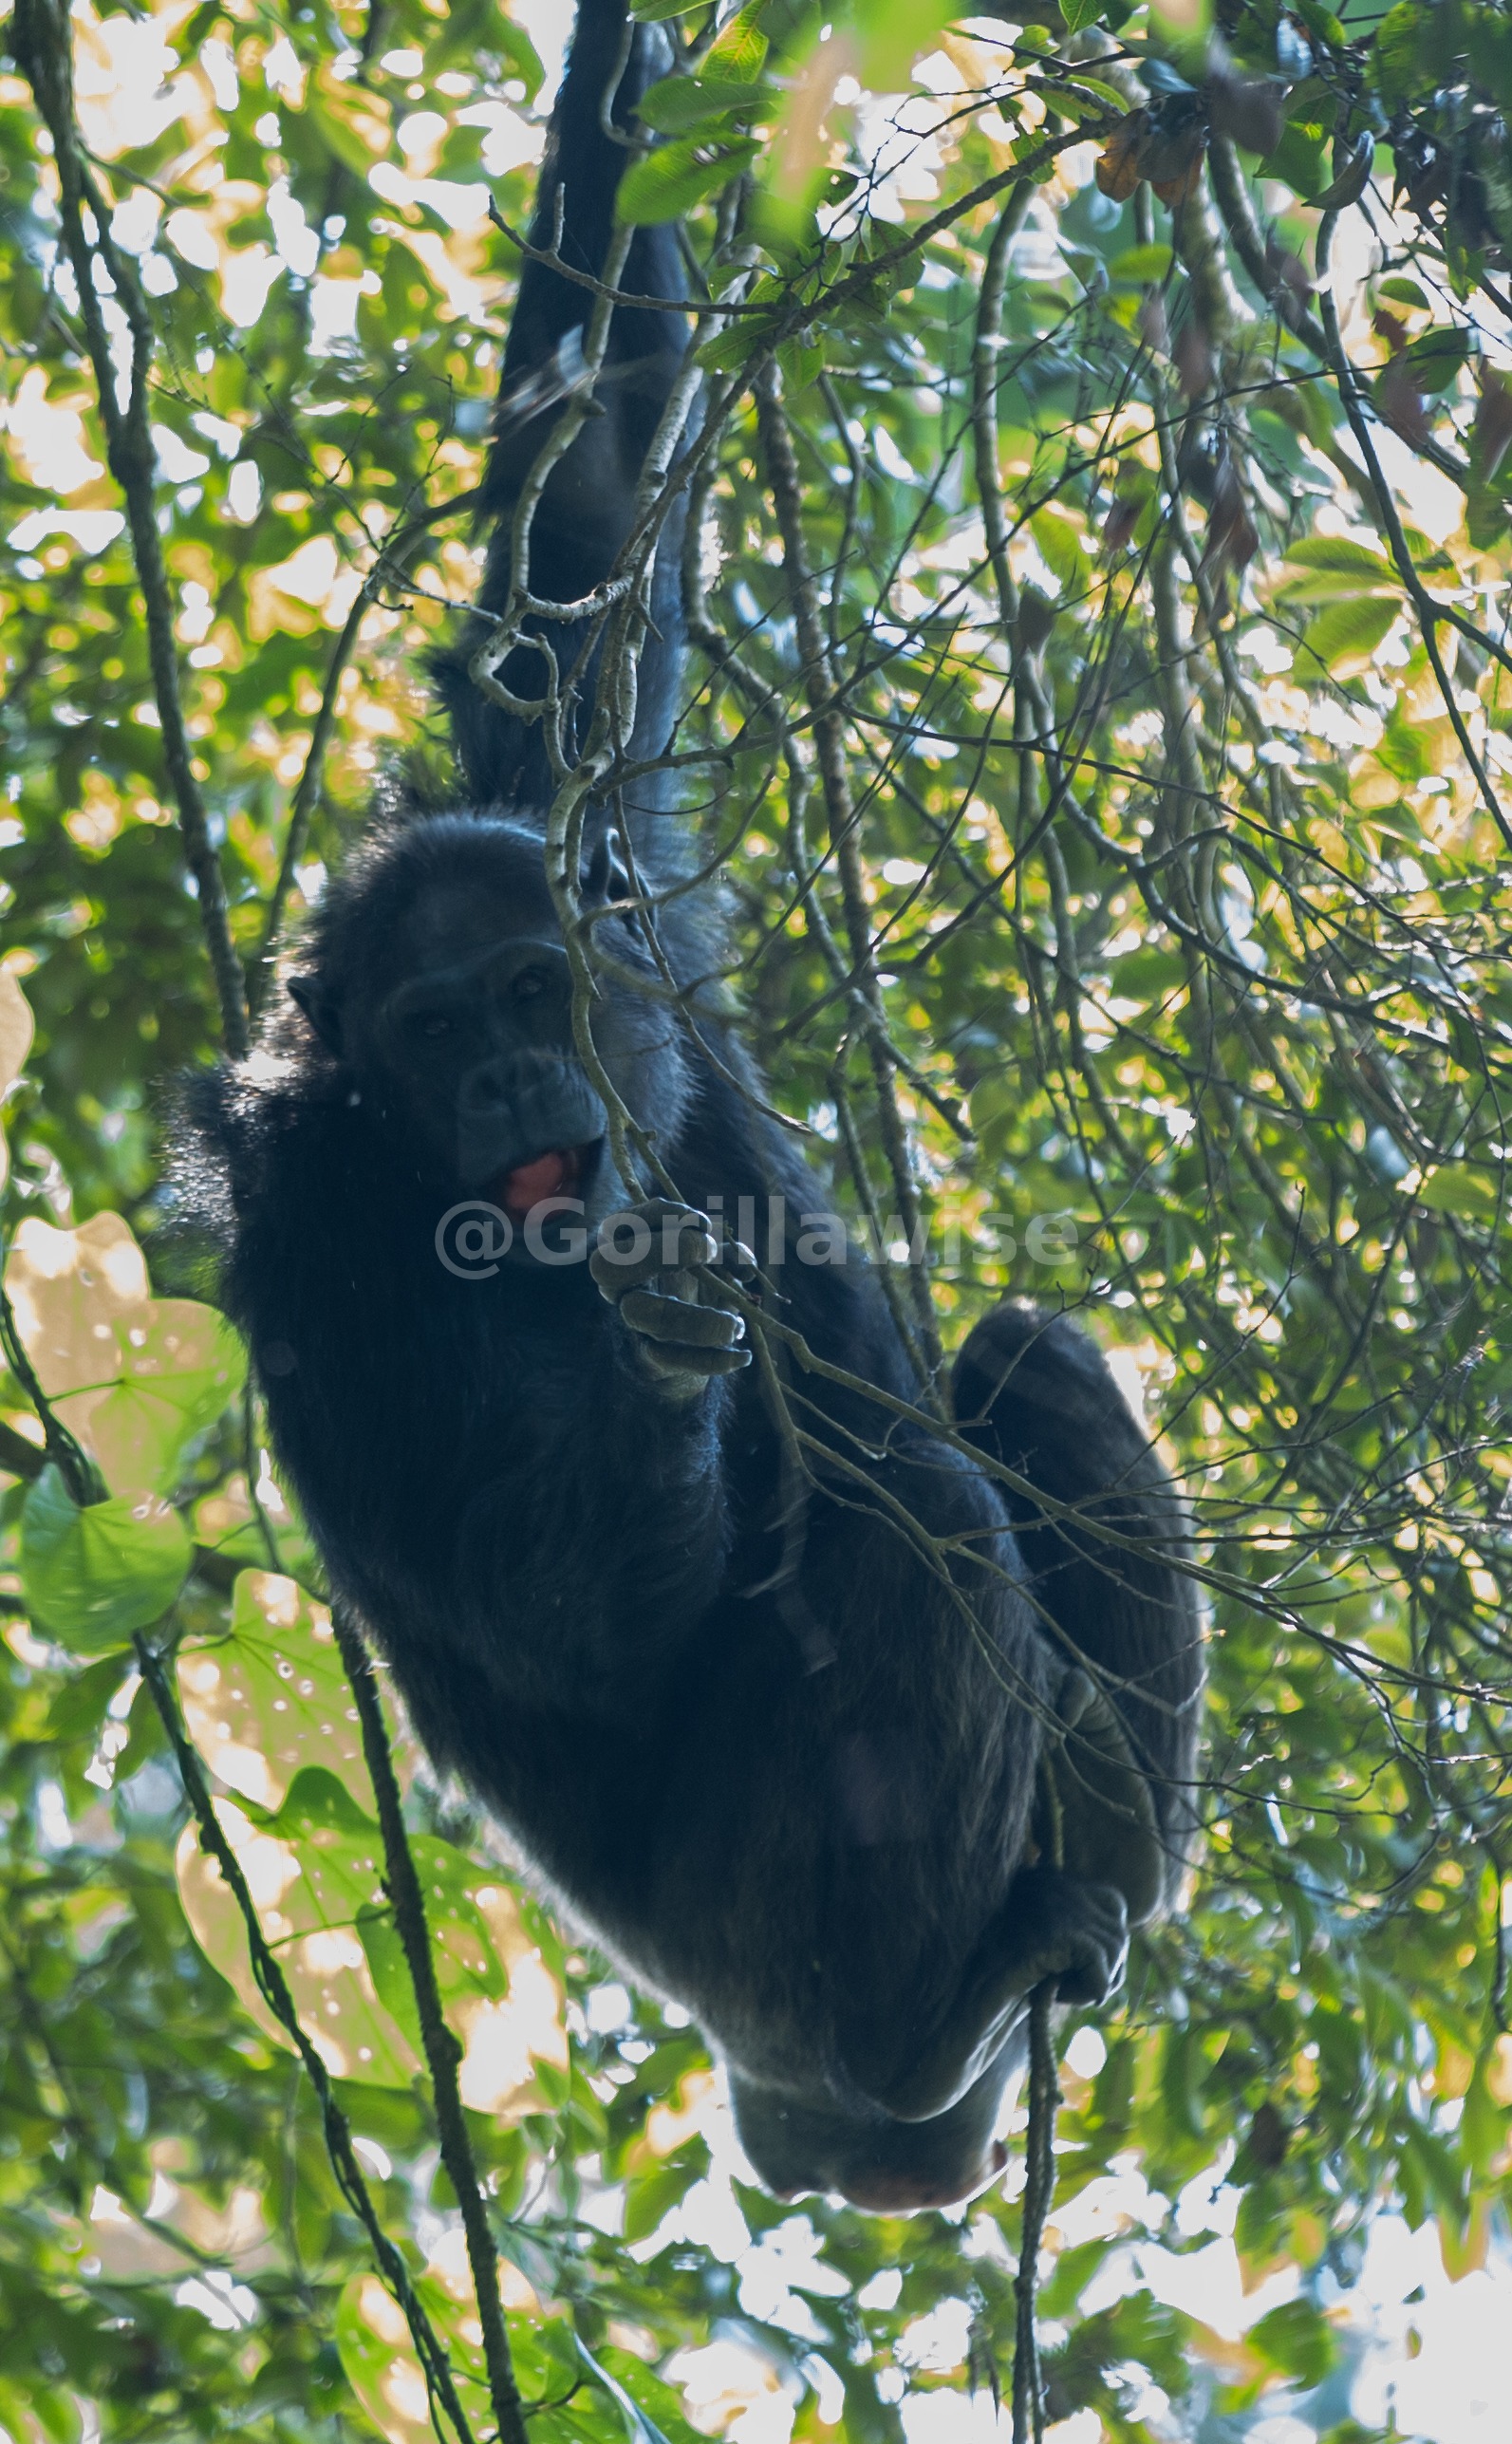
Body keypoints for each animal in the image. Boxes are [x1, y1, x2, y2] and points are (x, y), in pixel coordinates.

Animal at [179, 0, 1204, 2212]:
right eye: (423, 1028)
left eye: (527, 986)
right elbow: (542, 1604)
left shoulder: (584, 823)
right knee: (913, 1509)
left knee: (1027, 1365)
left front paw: (622, 66)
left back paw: (1099, 1883)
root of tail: (818, 2129)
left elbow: (586, 493)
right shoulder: (308, 1235)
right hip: (778, 1945)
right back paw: (945, 2002)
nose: (504, 1067)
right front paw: (654, 1352)